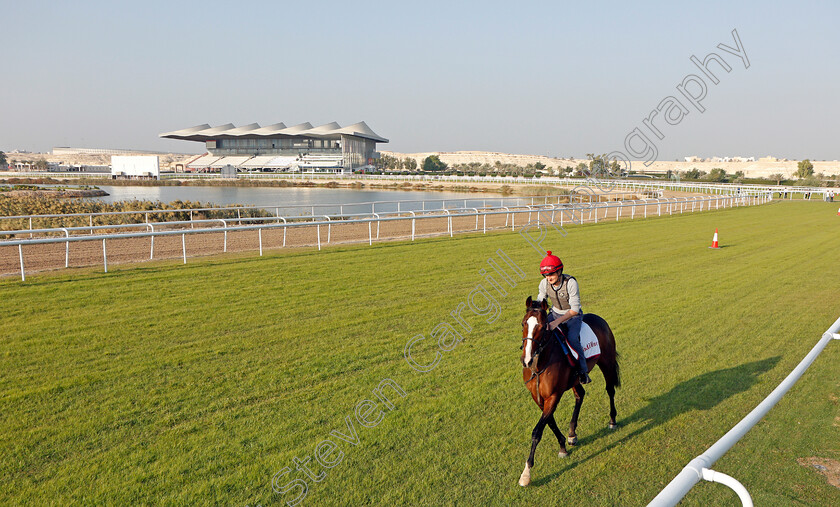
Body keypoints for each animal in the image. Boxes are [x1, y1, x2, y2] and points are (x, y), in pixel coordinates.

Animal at [516, 298, 620, 488]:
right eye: (523, 323)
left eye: (542, 326)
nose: (526, 360)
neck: (540, 363)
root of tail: (600, 319)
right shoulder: (538, 398)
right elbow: (549, 422)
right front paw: (563, 445)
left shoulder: (553, 396)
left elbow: (537, 431)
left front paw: (526, 473)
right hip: (575, 380)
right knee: (580, 395)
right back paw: (572, 434)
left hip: (606, 362)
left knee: (610, 390)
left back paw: (612, 420)